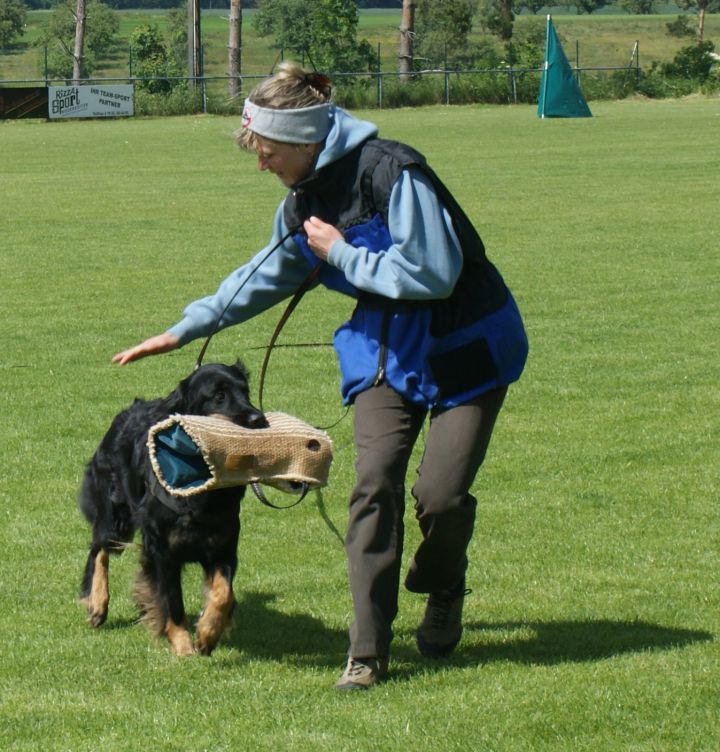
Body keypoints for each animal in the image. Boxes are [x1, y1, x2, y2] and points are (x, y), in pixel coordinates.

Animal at [77, 362, 268, 656]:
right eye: (219, 396)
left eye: (245, 391)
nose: (258, 419)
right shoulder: (163, 551)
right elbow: (172, 600)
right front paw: (182, 645)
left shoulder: (223, 546)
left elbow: (223, 593)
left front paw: (208, 633)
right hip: (114, 513)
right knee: (99, 547)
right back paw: (97, 603)